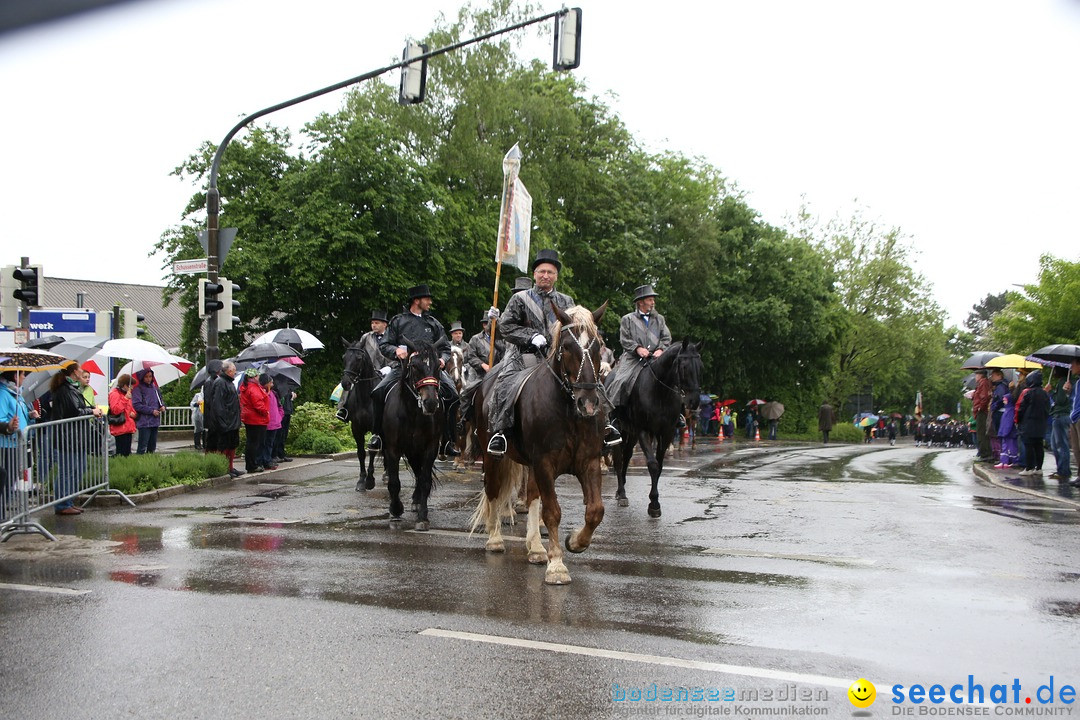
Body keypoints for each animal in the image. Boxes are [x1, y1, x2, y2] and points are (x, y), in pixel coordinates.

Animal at [345, 338, 384, 490]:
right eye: (344, 357)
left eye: (359, 358)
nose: (345, 383)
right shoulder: (356, 428)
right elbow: (361, 453)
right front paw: (361, 480)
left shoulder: (375, 428)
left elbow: (372, 450)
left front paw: (370, 480)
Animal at [382, 338, 444, 528]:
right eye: (415, 366)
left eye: (438, 366)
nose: (430, 403)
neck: (412, 413)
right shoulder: (393, 448)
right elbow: (394, 482)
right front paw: (395, 510)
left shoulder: (430, 447)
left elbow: (425, 480)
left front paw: (423, 516)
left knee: (419, 474)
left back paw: (417, 501)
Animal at [470, 300, 613, 587]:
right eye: (566, 346)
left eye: (597, 345)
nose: (588, 403)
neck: (569, 412)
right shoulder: (545, 463)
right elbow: (552, 512)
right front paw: (557, 566)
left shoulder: (589, 462)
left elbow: (595, 510)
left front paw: (575, 542)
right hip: (493, 457)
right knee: (493, 490)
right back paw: (495, 538)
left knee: (532, 497)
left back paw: (536, 548)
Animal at [613, 338, 704, 515]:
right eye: (684, 367)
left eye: (700, 366)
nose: (694, 402)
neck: (659, 391)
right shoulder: (644, 431)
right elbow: (653, 465)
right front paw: (654, 503)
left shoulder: (666, 432)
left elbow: (660, 465)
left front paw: (654, 501)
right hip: (619, 431)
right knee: (619, 459)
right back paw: (621, 493)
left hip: (631, 433)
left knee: (626, 455)